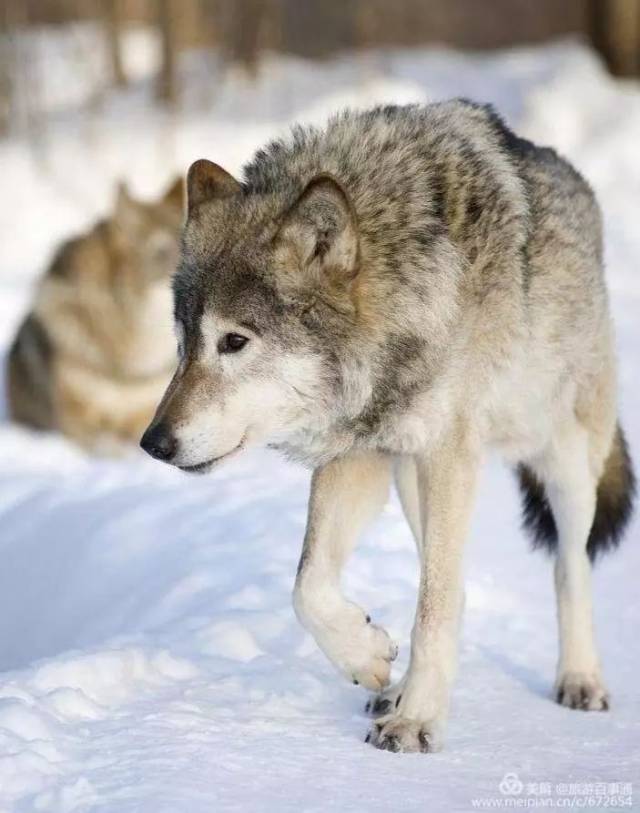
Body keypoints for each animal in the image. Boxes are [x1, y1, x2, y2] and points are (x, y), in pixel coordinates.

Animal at [141, 103, 636, 756]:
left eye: (234, 342)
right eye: (183, 344)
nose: (153, 443)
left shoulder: (451, 456)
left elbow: (434, 608)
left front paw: (417, 721)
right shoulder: (359, 453)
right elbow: (308, 586)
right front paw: (370, 658)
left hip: (564, 459)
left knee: (567, 566)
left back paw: (579, 678)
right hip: (410, 479)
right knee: (452, 580)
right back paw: (398, 687)